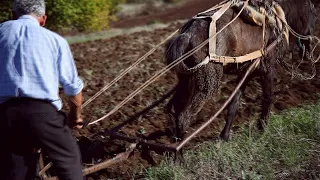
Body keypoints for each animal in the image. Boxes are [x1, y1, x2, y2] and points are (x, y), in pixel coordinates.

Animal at [165, 0, 318, 140]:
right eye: (313, 11)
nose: (309, 45)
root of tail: (187, 35)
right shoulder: (267, 69)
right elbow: (268, 97)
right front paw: (261, 129)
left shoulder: (246, 72)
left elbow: (234, 103)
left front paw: (224, 136)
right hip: (206, 81)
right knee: (184, 115)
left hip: (187, 79)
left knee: (173, 107)